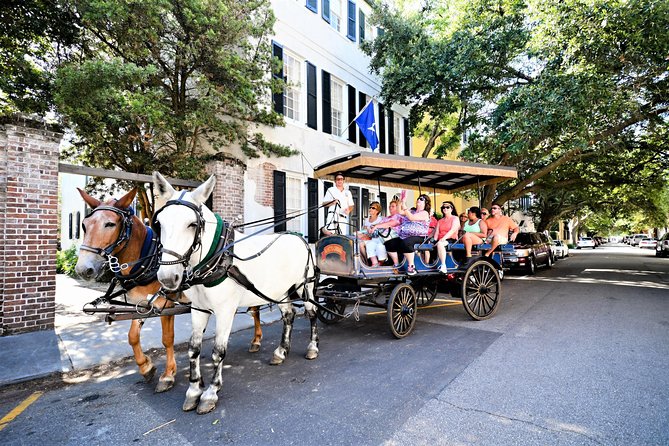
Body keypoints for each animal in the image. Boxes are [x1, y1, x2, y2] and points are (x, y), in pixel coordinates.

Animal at [73, 187, 260, 390]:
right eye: (84, 225)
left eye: (110, 224)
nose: (83, 269)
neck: (147, 259)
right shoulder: (142, 304)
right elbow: (132, 336)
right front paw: (146, 367)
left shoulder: (165, 304)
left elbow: (167, 338)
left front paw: (168, 374)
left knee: (255, 310)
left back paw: (257, 340)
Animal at [153, 172, 320, 414]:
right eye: (159, 223)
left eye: (192, 224)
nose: (167, 278)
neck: (215, 257)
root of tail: (299, 237)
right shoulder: (198, 309)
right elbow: (194, 349)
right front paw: (193, 390)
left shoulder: (225, 310)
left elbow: (218, 351)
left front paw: (210, 393)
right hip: (279, 291)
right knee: (289, 315)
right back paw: (280, 351)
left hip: (304, 286)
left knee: (313, 313)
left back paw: (312, 347)